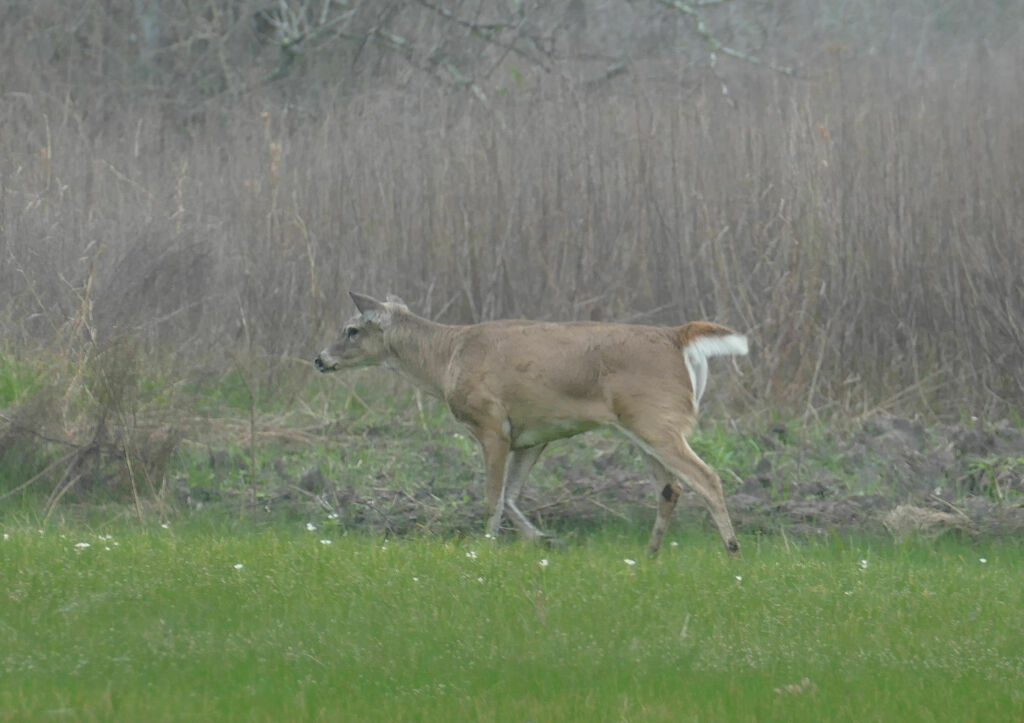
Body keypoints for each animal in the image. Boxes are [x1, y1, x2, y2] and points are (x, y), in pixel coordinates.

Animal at [315, 292, 749, 556]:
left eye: (352, 329)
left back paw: (732, 551)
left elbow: (492, 497)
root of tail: (677, 337)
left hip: (656, 419)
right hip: (640, 427)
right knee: (671, 488)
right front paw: (544, 539)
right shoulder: (534, 434)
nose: (320, 359)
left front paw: (484, 549)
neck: (446, 360)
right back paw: (649, 555)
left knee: (707, 478)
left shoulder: (491, 424)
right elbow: (510, 496)